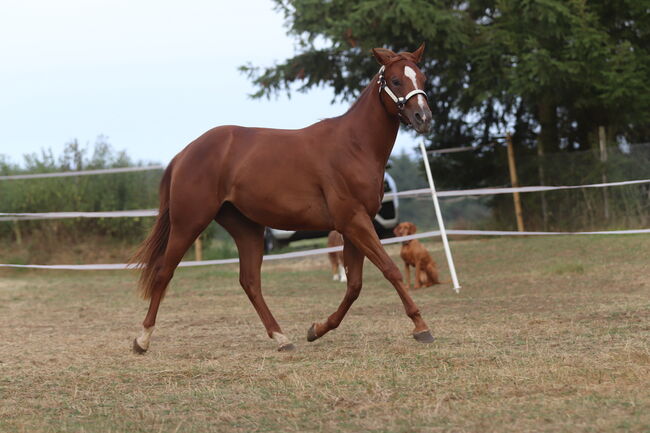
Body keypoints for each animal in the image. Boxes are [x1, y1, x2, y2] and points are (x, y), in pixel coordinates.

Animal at [132, 45, 432, 352]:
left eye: (422, 78)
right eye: (395, 81)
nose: (423, 118)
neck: (354, 145)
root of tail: (184, 153)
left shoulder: (356, 226)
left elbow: (354, 285)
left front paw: (317, 329)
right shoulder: (354, 222)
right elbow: (390, 270)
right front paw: (421, 327)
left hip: (247, 229)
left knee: (250, 281)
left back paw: (281, 337)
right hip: (188, 223)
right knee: (164, 272)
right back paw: (142, 339)